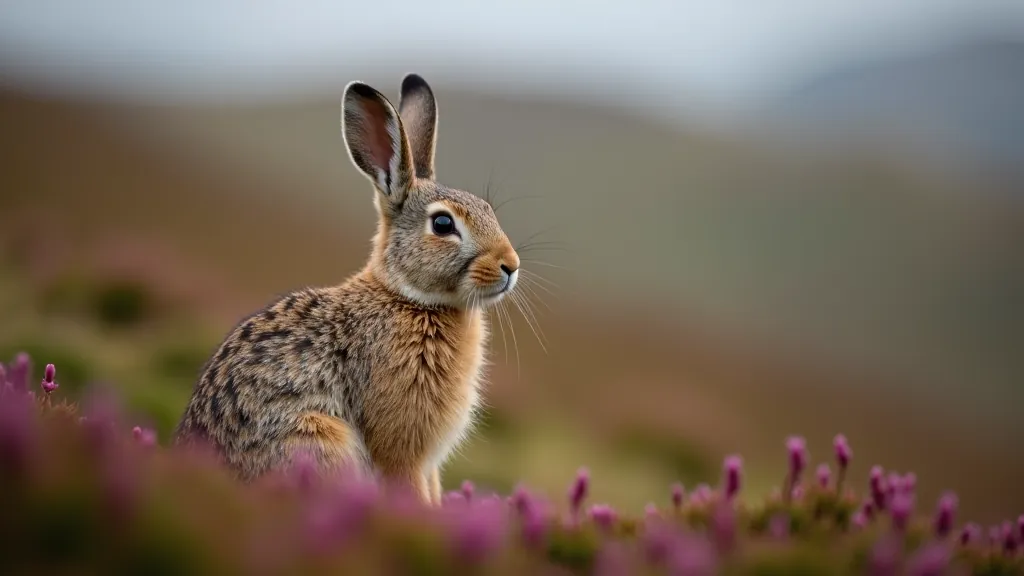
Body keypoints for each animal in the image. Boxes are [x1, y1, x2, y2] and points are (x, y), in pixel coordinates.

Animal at [172, 73, 521, 505]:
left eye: (489, 212)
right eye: (442, 224)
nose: (511, 265)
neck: (409, 298)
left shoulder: (428, 463)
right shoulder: (401, 448)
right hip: (318, 438)